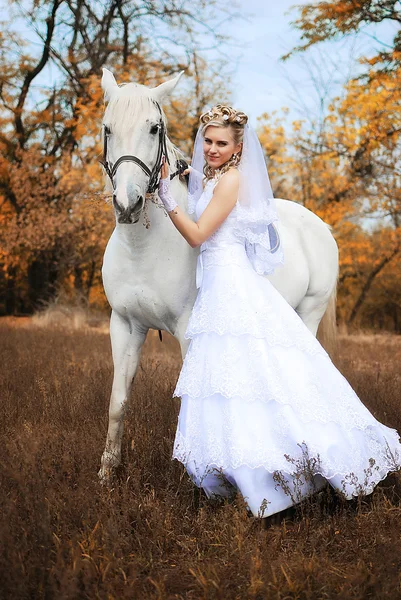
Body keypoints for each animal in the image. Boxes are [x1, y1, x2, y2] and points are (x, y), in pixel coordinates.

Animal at [97, 68, 338, 480]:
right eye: (107, 129)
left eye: (154, 128)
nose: (128, 204)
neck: (144, 249)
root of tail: (319, 225)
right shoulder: (125, 326)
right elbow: (118, 401)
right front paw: (107, 472)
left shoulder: (186, 330)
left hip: (310, 313)